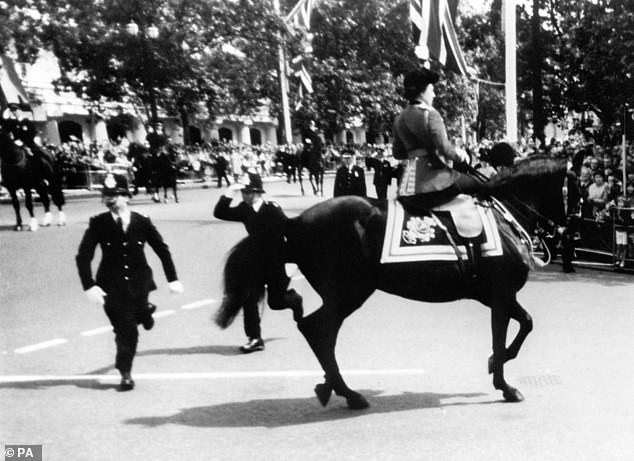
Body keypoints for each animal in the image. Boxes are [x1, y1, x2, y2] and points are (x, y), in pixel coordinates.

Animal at [215, 155, 572, 410]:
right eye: (573, 185)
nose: (566, 229)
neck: (504, 215)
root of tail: (295, 222)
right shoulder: (501, 294)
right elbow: (508, 334)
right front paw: (504, 383)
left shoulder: (496, 296)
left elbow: (524, 323)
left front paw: (497, 367)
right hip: (349, 294)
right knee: (317, 329)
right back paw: (347, 392)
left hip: (341, 295)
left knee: (319, 331)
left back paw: (331, 384)